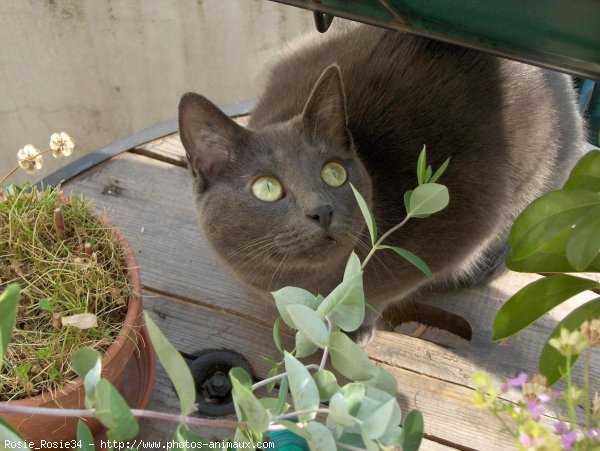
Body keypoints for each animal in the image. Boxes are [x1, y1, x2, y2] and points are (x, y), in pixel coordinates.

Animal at [176, 21, 584, 346]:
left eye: (333, 172)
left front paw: (353, 324)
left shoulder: (466, 216)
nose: (321, 211)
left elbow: (382, 290)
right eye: (266, 188)